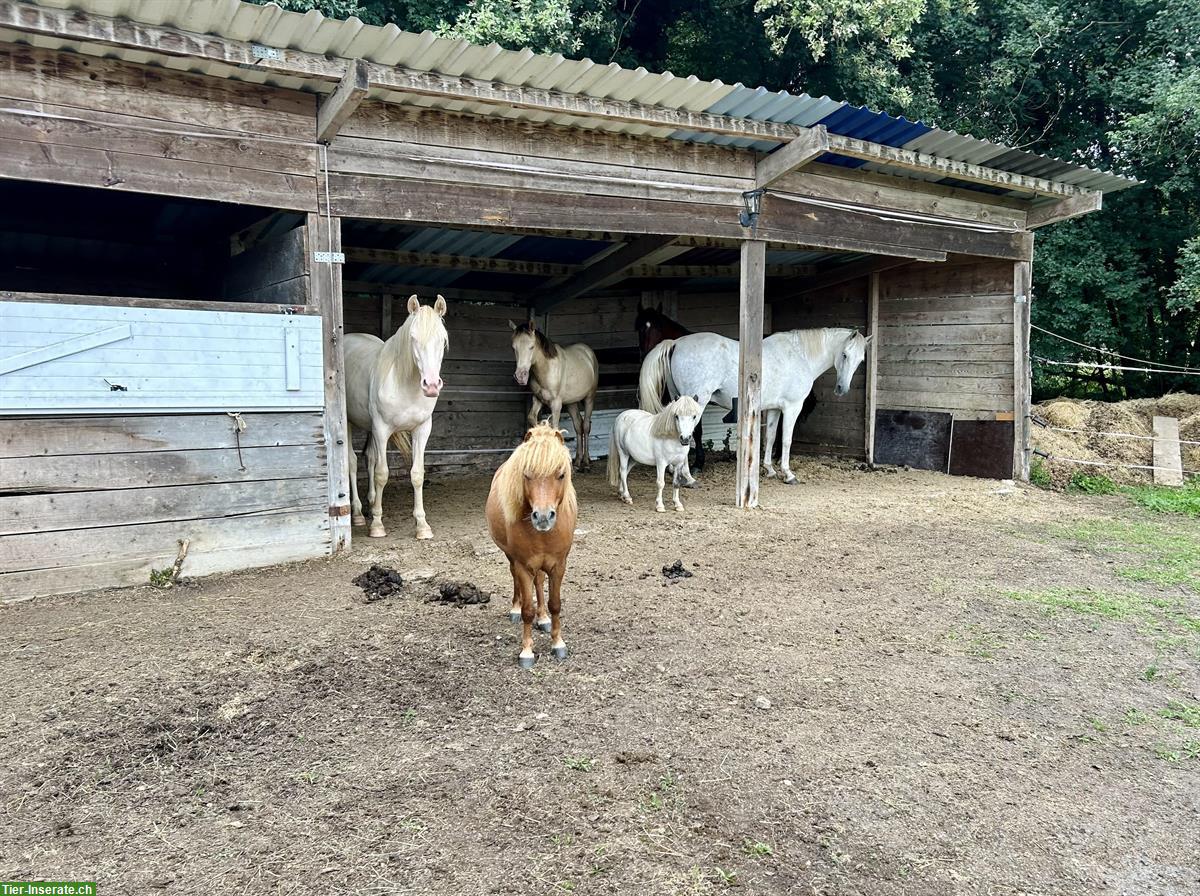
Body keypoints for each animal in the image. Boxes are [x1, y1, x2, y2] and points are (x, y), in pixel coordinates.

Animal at [345, 297, 448, 542]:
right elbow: (382, 474)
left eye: (442, 340)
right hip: (349, 422)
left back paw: (371, 502)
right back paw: (358, 514)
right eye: (413, 338)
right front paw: (377, 525)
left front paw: (422, 526)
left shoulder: (422, 429)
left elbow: (417, 474)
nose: (431, 386)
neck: (405, 384)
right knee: (352, 462)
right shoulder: (382, 429)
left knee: (370, 457)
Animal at [487, 424, 580, 671]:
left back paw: (543, 618)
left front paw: (558, 643)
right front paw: (527, 651)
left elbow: (555, 604)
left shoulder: (558, 566)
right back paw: (515, 609)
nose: (543, 517)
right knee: (515, 579)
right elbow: (528, 609)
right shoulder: (523, 566)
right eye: (527, 474)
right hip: (512, 558)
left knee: (539, 582)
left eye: (561, 474)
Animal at [506, 323, 600, 477]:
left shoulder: (556, 404)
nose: (520, 376)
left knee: (586, 426)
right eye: (514, 348)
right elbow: (533, 419)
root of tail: (588, 352)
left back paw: (586, 463)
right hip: (571, 403)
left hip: (589, 398)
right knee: (578, 425)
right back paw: (576, 462)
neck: (546, 369)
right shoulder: (538, 399)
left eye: (531, 346)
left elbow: (555, 428)